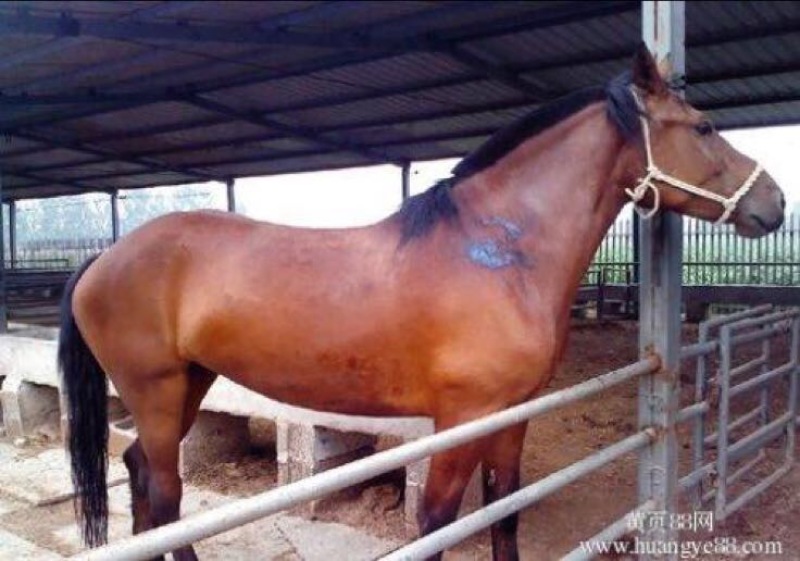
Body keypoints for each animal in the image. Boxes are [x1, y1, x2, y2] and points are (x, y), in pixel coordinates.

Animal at [59, 44, 785, 561]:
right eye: (704, 126)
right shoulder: (463, 418)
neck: (496, 251)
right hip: (155, 390)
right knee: (165, 494)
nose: (774, 203)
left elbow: (504, 511)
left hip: (189, 383)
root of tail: (103, 259)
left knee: (141, 477)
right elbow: (436, 525)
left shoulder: (511, 415)